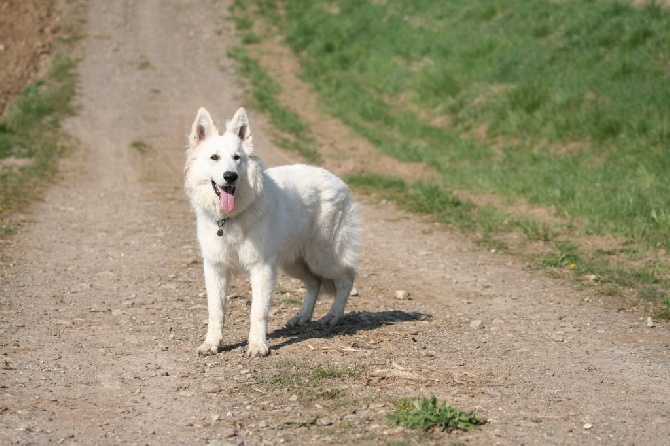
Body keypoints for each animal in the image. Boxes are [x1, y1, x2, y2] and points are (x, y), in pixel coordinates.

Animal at [184, 106, 362, 358]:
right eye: (214, 157)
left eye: (237, 158)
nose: (230, 176)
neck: (232, 218)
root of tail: (338, 181)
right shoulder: (215, 268)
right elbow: (216, 311)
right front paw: (212, 343)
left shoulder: (262, 268)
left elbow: (258, 312)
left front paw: (258, 346)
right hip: (294, 263)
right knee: (314, 284)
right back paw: (302, 316)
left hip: (322, 258)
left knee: (346, 277)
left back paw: (333, 316)